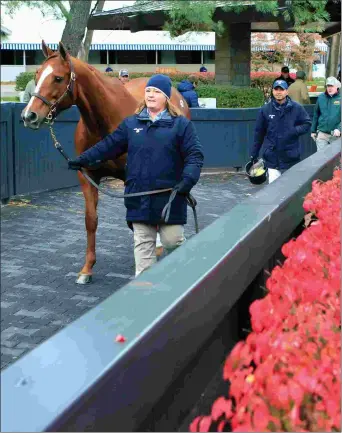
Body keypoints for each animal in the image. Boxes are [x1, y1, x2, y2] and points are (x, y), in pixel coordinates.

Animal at [22, 40, 190, 284]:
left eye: (58, 78)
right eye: (37, 75)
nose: (29, 115)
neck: (105, 121)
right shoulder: (87, 176)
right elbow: (91, 220)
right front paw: (86, 269)